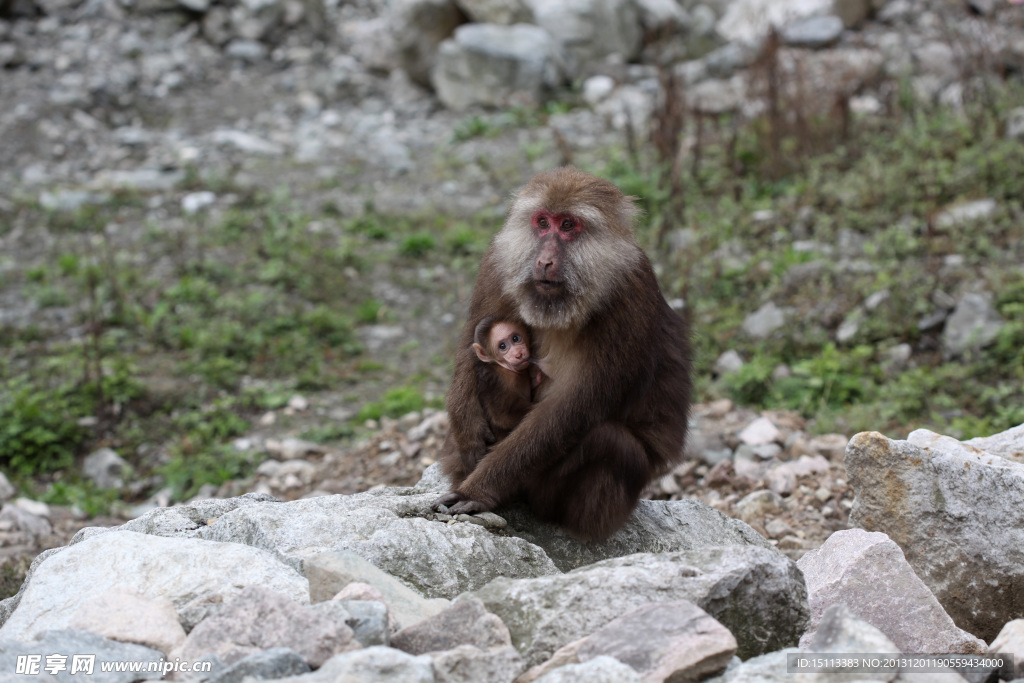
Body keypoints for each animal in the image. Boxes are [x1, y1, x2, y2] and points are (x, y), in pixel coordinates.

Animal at [436, 167, 692, 540]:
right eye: (543, 222)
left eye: (568, 225)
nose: (544, 260)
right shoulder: (499, 261)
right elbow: (472, 343)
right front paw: (468, 433)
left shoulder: (629, 295)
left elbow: (576, 404)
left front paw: (479, 489)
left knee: (610, 442)